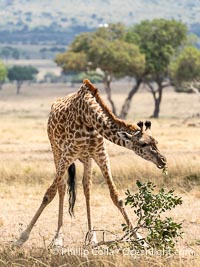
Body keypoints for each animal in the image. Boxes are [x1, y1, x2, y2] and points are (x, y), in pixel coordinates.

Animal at [14, 79, 167, 247]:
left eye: (156, 142)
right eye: (143, 144)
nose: (163, 160)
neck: (89, 118)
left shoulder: (101, 155)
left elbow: (116, 197)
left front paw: (139, 239)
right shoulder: (69, 153)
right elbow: (49, 194)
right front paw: (21, 238)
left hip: (87, 158)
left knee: (86, 187)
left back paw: (91, 236)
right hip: (56, 150)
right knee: (61, 186)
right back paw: (58, 237)